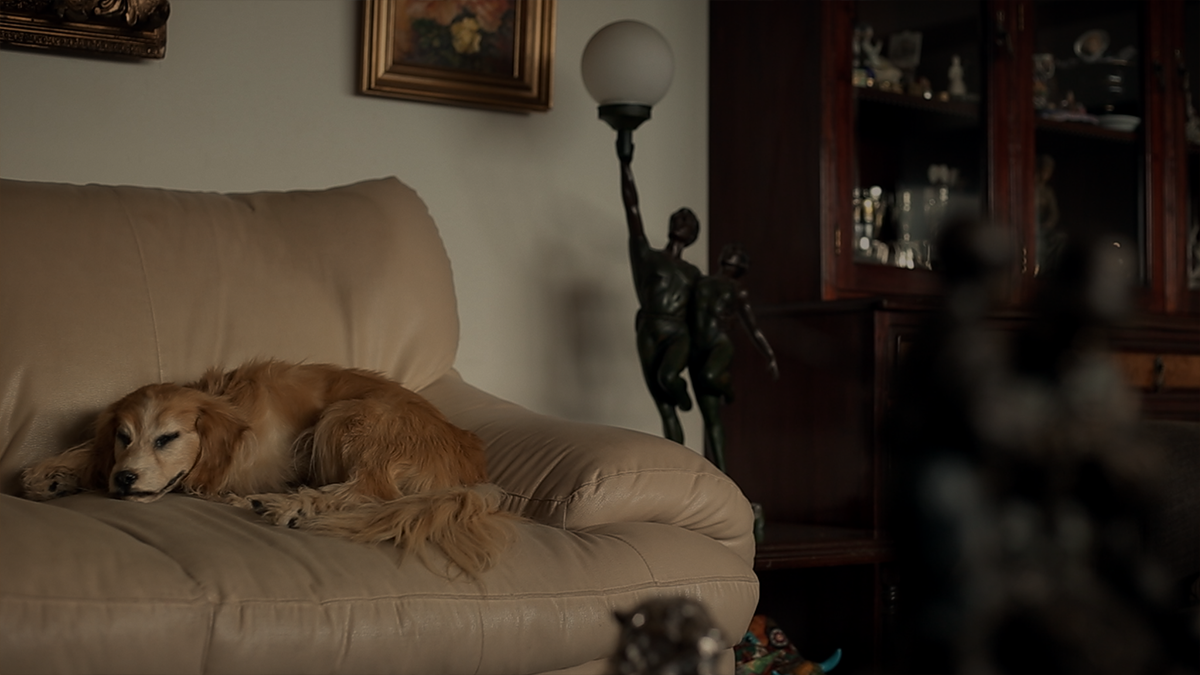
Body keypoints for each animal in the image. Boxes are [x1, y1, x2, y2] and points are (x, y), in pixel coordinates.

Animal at [21, 360, 515, 577]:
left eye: (168, 438)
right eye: (124, 436)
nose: (124, 479)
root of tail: (470, 469)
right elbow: (90, 448)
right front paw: (54, 472)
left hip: (351, 416)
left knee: (373, 493)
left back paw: (291, 505)